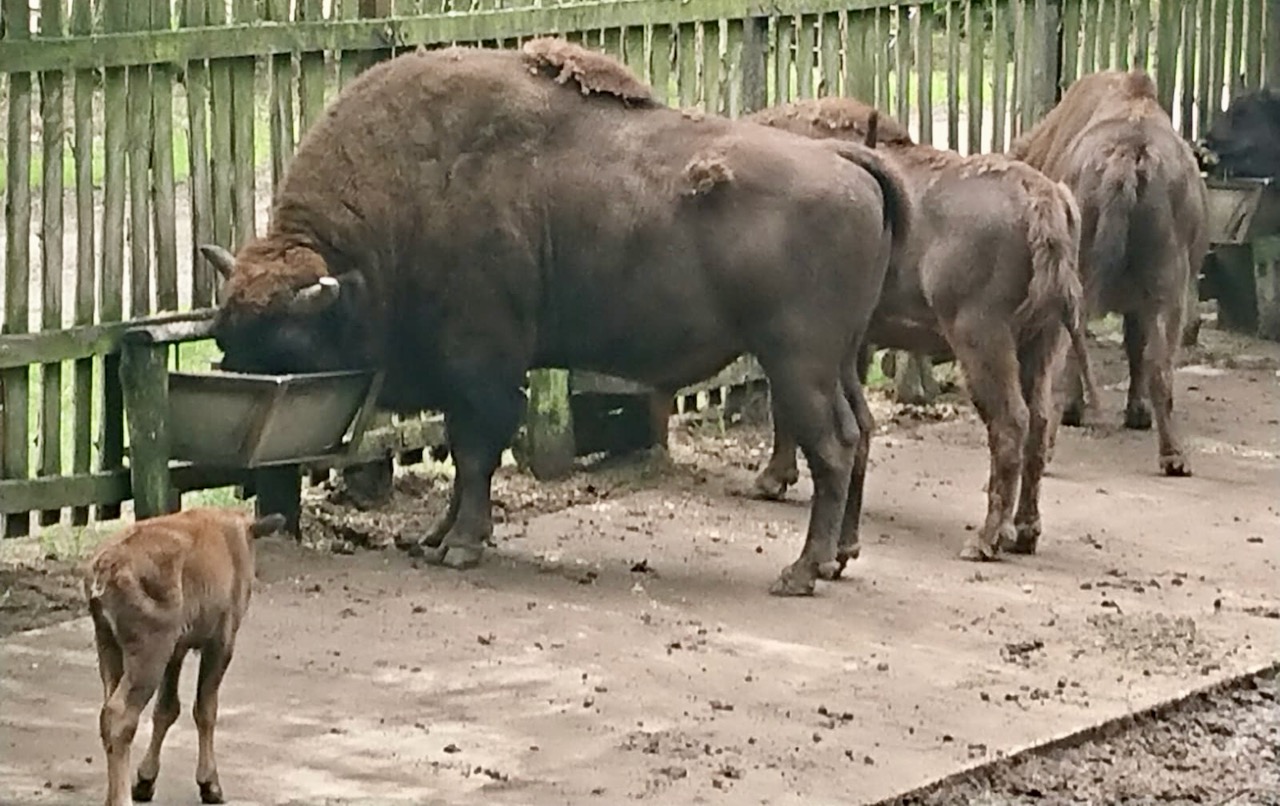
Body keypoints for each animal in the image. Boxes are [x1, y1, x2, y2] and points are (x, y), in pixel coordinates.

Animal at [201, 39, 911, 597]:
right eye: (225, 342)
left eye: (289, 346)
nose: (240, 467)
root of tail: (850, 162)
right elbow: (465, 457)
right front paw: (431, 537)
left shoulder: (480, 367)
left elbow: (475, 453)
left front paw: (459, 546)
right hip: (839, 360)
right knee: (861, 430)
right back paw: (840, 557)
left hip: (797, 361)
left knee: (833, 444)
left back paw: (801, 571)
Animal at [748, 97, 1088, 564]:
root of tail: (1044, 198)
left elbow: (784, 405)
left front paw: (770, 479)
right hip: (1042, 341)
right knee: (1039, 422)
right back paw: (1024, 532)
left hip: (982, 338)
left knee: (1010, 423)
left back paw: (985, 540)